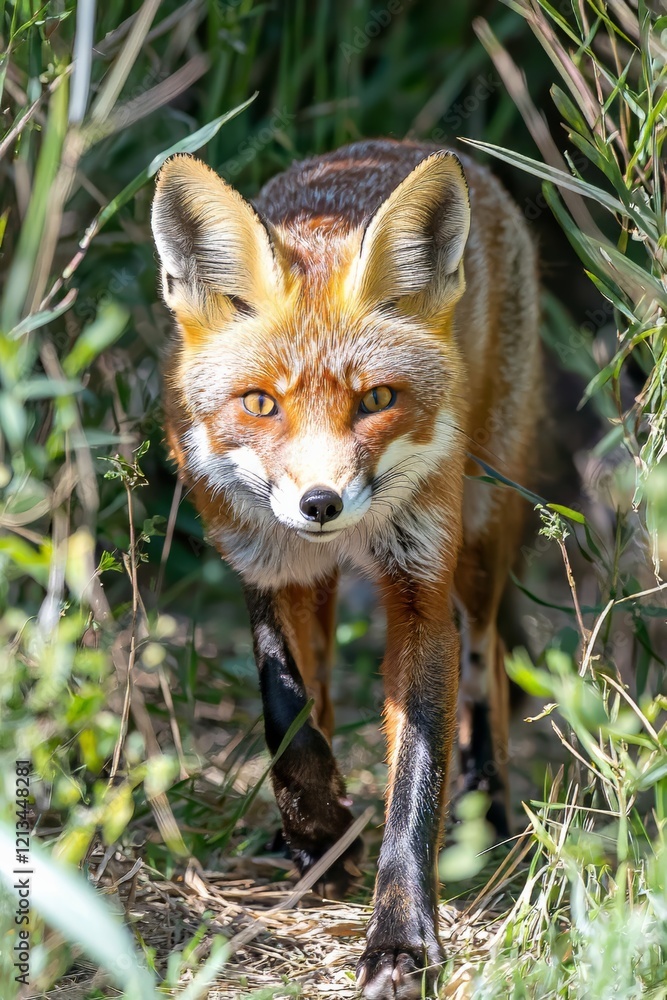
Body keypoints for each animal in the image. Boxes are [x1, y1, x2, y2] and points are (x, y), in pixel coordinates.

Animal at [151, 138, 540, 998]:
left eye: (377, 400)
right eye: (261, 404)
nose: (320, 504)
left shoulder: (419, 589)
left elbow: (416, 780)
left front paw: (399, 940)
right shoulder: (265, 563)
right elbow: (286, 711)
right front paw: (321, 827)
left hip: (479, 539)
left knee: (487, 665)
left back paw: (490, 809)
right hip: (319, 578)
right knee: (323, 687)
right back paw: (304, 843)